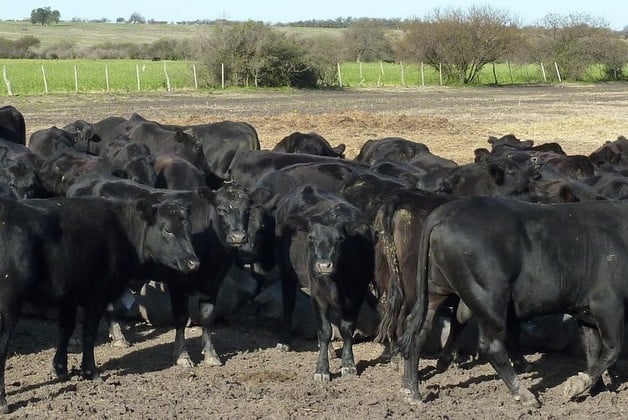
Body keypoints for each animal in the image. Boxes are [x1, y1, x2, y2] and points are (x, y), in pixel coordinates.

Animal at [0, 197, 199, 414]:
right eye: (167, 230)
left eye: (188, 228)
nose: (193, 262)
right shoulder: (97, 297)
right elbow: (89, 333)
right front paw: (91, 371)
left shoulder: (68, 296)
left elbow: (66, 328)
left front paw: (60, 368)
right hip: (8, 306)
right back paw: (3, 402)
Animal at [274, 186, 372, 380]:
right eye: (311, 238)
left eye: (341, 238)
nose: (323, 265)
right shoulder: (318, 293)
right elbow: (325, 330)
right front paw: (322, 370)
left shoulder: (358, 293)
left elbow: (347, 329)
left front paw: (348, 364)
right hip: (287, 272)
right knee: (288, 304)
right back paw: (284, 341)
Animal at [400, 199, 628, 408]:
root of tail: (446, 210)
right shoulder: (608, 305)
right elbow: (612, 349)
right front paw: (577, 384)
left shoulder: (586, 312)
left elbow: (592, 349)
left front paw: (598, 388)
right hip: (489, 298)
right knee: (492, 346)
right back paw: (525, 394)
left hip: (435, 290)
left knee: (418, 332)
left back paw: (411, 392)